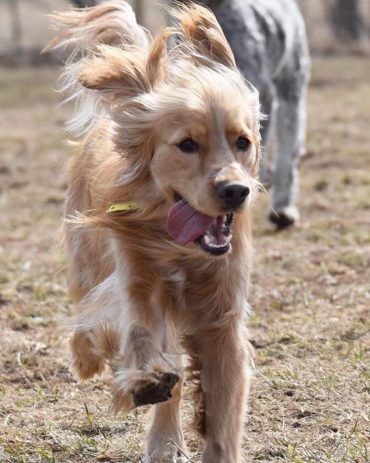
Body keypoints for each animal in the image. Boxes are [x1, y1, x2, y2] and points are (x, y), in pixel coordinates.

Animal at [47, 1, 260, 462]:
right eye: (187, 145)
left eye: (242, 141)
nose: (236, 191)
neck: (180, 248)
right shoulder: (136, 281)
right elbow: (138, 333)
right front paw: (143, 379)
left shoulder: (223, 319)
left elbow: (224, 412)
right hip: (86, 260)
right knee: (89, 322)